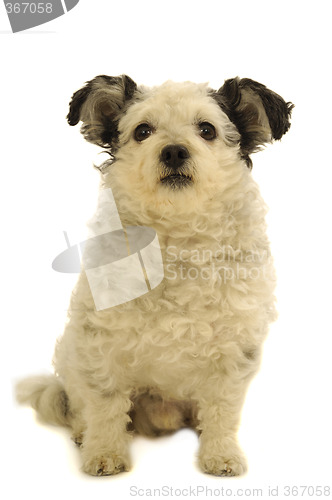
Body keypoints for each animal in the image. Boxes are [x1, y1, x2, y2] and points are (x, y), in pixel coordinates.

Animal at [16, 74, 294, 476]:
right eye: (143, 131)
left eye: (207, 130)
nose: (174, 151)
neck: (176, 239)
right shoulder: (100, 345)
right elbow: (105, 405)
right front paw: (104, 453)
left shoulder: (234, 352)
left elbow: (223, 411)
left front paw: (221, 454)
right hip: (72, 360)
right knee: (82, 406)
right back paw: (84, 433)